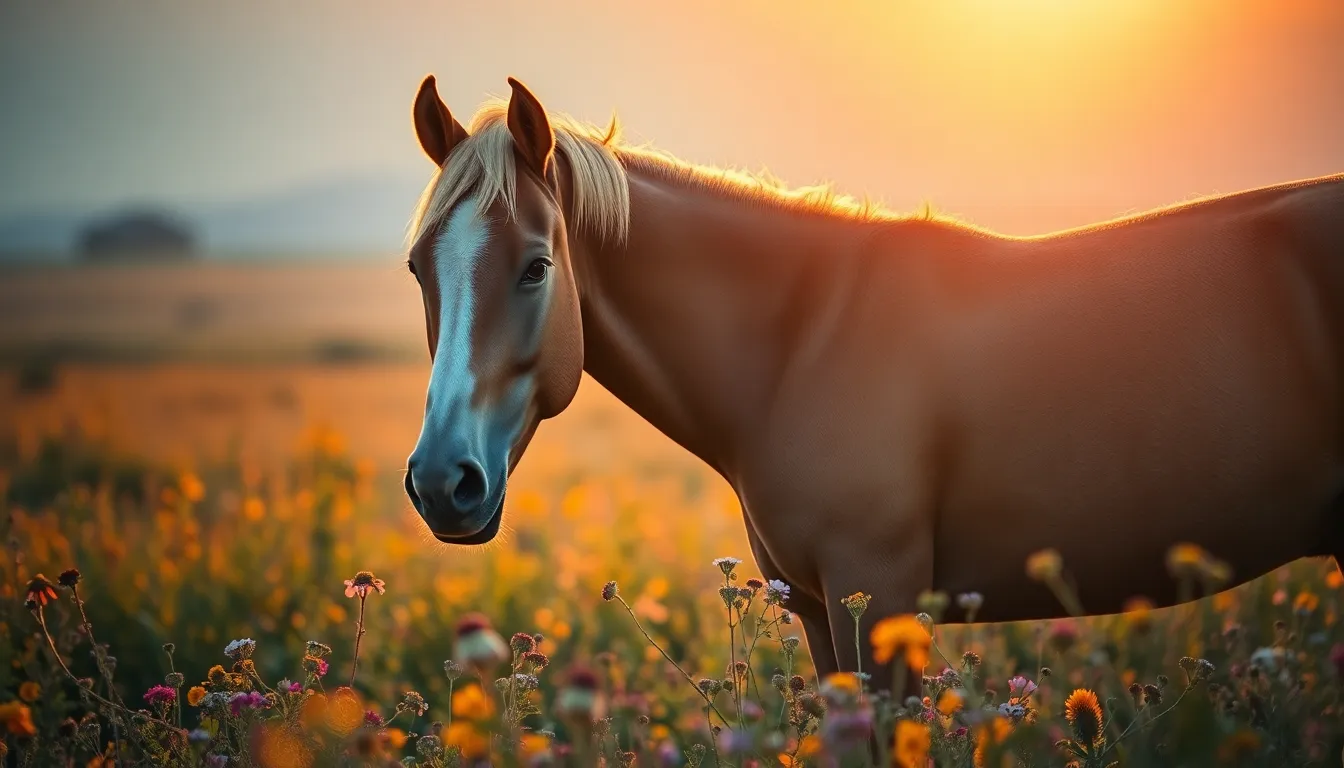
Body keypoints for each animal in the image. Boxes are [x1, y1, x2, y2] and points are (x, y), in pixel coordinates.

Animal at [399, 73, 1344, 685]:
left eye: (535, 267)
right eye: (416, 269)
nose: (443, 484)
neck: (803, 337)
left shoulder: (878, 600)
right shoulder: (821, 613)